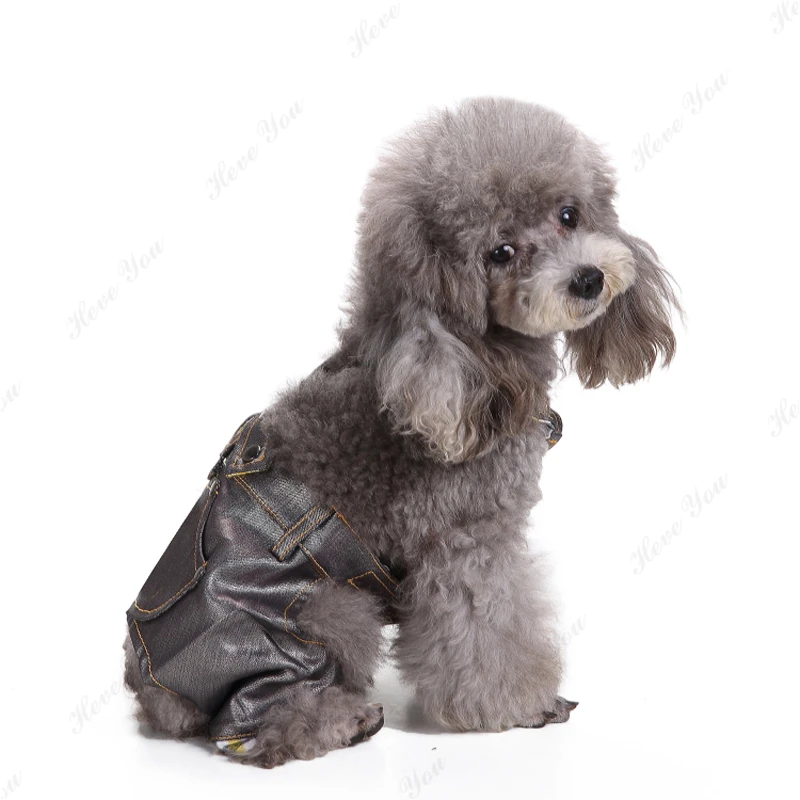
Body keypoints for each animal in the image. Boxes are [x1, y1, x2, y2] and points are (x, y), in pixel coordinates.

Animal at [123, 96, 679, 768]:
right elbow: (486, 627)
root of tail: (148, 685)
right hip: (308, 618)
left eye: (569, 215)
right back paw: (339, 719)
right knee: (258, 719)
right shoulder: (465, 541)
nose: (588, 279)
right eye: (499, 252)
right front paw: (519, 705)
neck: (473, 358)